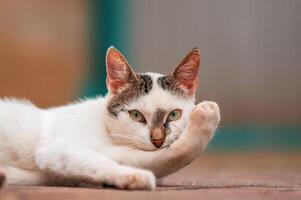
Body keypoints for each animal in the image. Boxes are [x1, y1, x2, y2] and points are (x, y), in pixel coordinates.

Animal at [0, 46, 220, 189]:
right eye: (136, 115)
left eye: (174, 114)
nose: (157, 140)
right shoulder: (57, 149)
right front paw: (133, 176)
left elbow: (150, 159)